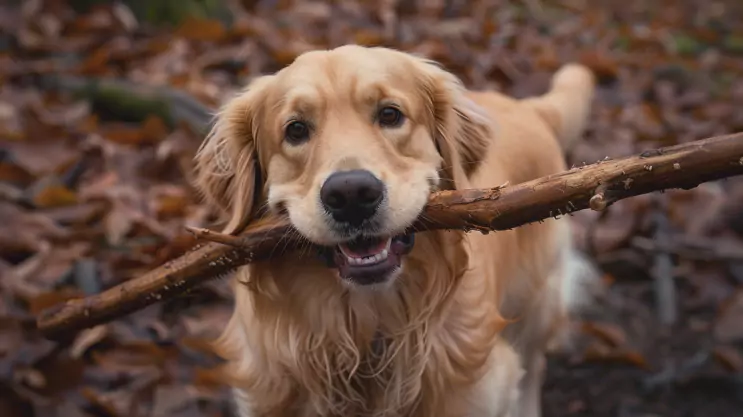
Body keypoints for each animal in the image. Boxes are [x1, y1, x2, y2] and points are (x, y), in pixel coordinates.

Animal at [193, 45, 600, 416]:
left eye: (390, 114)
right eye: (295, 130)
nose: (351, 194)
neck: (363, 329)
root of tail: (529, 108)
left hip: (537, 301)